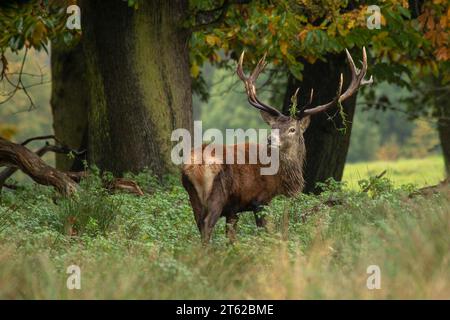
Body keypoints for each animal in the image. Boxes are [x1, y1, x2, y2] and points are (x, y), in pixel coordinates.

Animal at [180, 47, 372, 242]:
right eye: (273, 126)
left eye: (292, 129)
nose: (270, 139)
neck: (282, 179)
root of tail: (194, 166)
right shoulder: (260, 200)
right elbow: (265, 232)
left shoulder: (234, 208)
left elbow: (231, 238)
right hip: (218, 194)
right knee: (206, 226)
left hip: (193, 196)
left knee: (199, 224)